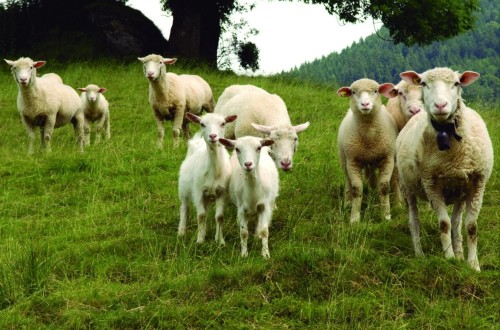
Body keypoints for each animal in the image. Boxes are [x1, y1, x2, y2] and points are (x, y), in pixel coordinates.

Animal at [177, 112, 237, 244]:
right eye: (202, 124)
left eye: (223, 123)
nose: (213, 136)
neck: (214, 170)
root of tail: (196, 144)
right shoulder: (198, 191)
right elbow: (201, 215)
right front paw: (200, 241)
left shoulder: (222, 192)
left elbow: (219, 217)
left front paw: (220, 241)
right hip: (183, 190)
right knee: (184, 208)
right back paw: (181, 232)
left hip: (208, 196)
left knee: (206, 210)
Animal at [338, 78, 400, 223]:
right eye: (353, 92)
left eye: (376, 91)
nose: (365, 104)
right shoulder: (352, 160)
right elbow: (356, 189)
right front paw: (354, 218)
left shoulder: (388, 158)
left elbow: (384, 187)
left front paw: (386, 215)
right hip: (344, 160)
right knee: (348, 181)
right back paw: (347, 203)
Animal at [396, 67, 494, 270]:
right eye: (423, 83)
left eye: (456, 83)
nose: (440, 105)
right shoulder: (431, 183)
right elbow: (444, 224)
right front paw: (449, 258)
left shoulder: (477, 183)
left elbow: (471, 226)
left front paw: (473, 265)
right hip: (407, 187)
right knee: (414, 221)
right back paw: (419, 254)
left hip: (460, 191)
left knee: (457, 222)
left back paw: (459, 254)